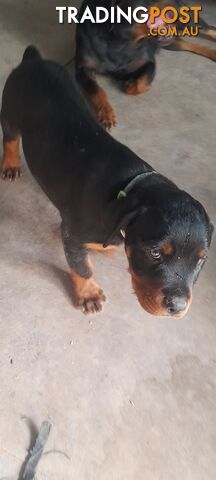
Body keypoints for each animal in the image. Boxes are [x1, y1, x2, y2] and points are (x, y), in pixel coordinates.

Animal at [75, 0, 216, 128]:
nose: (178, 5)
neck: (121, 40)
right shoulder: (83, 69)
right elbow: (97, 90)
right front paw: (106, 113)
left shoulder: (149, 62)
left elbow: (140, 84)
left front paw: (129, 83)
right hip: (171, 42)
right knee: (189, 45)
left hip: (189, 22)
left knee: (210, 29)